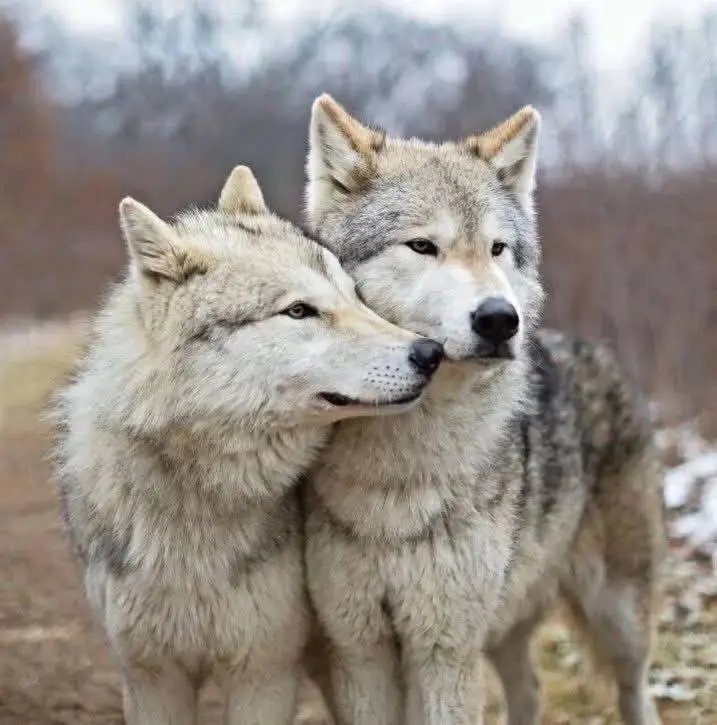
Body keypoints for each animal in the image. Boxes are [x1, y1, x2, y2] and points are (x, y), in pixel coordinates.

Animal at [53, 165, 444, 725]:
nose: (430, 353)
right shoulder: (151, 677)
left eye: (355, 295)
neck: (195, 503)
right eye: (299, 311)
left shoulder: (264, 672)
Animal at [303, 95, 665, 725]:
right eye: (422, 246)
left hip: (614, 614)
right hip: (505, 625)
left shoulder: (444, 650)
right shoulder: (360, 650)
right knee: (532, 690)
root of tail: (600, 350)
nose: (500, 319)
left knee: (635, 689)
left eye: (498, 249)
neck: (400, 470)